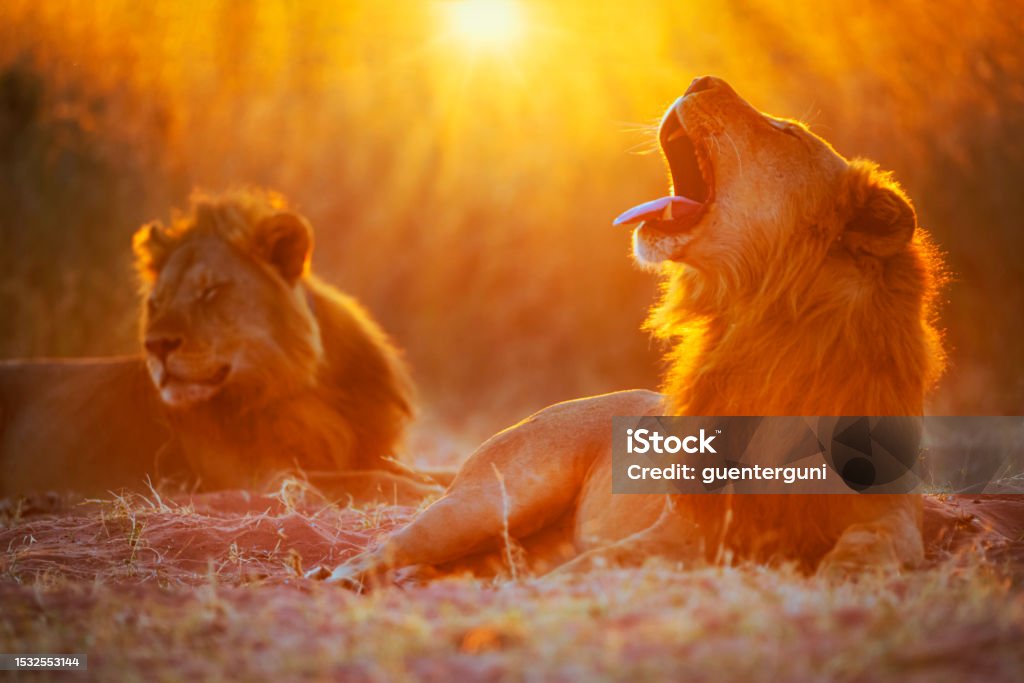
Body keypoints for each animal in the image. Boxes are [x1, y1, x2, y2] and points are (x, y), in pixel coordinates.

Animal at [0, 190, 442, 503]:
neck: (303, 389)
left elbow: (425, 471)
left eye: (210, 292)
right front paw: (427, 493)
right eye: (156, 302)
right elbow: (370, 480)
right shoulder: (263, 478)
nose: (156, 345)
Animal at [331, 76, 946, 585]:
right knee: (392, 544)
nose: (700, 78)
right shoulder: (688, 523)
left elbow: (876, 540)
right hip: (490, 501)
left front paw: (848, 572)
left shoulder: (889, 511)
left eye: (787, 132)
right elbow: (607, 559)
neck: (767, 337)